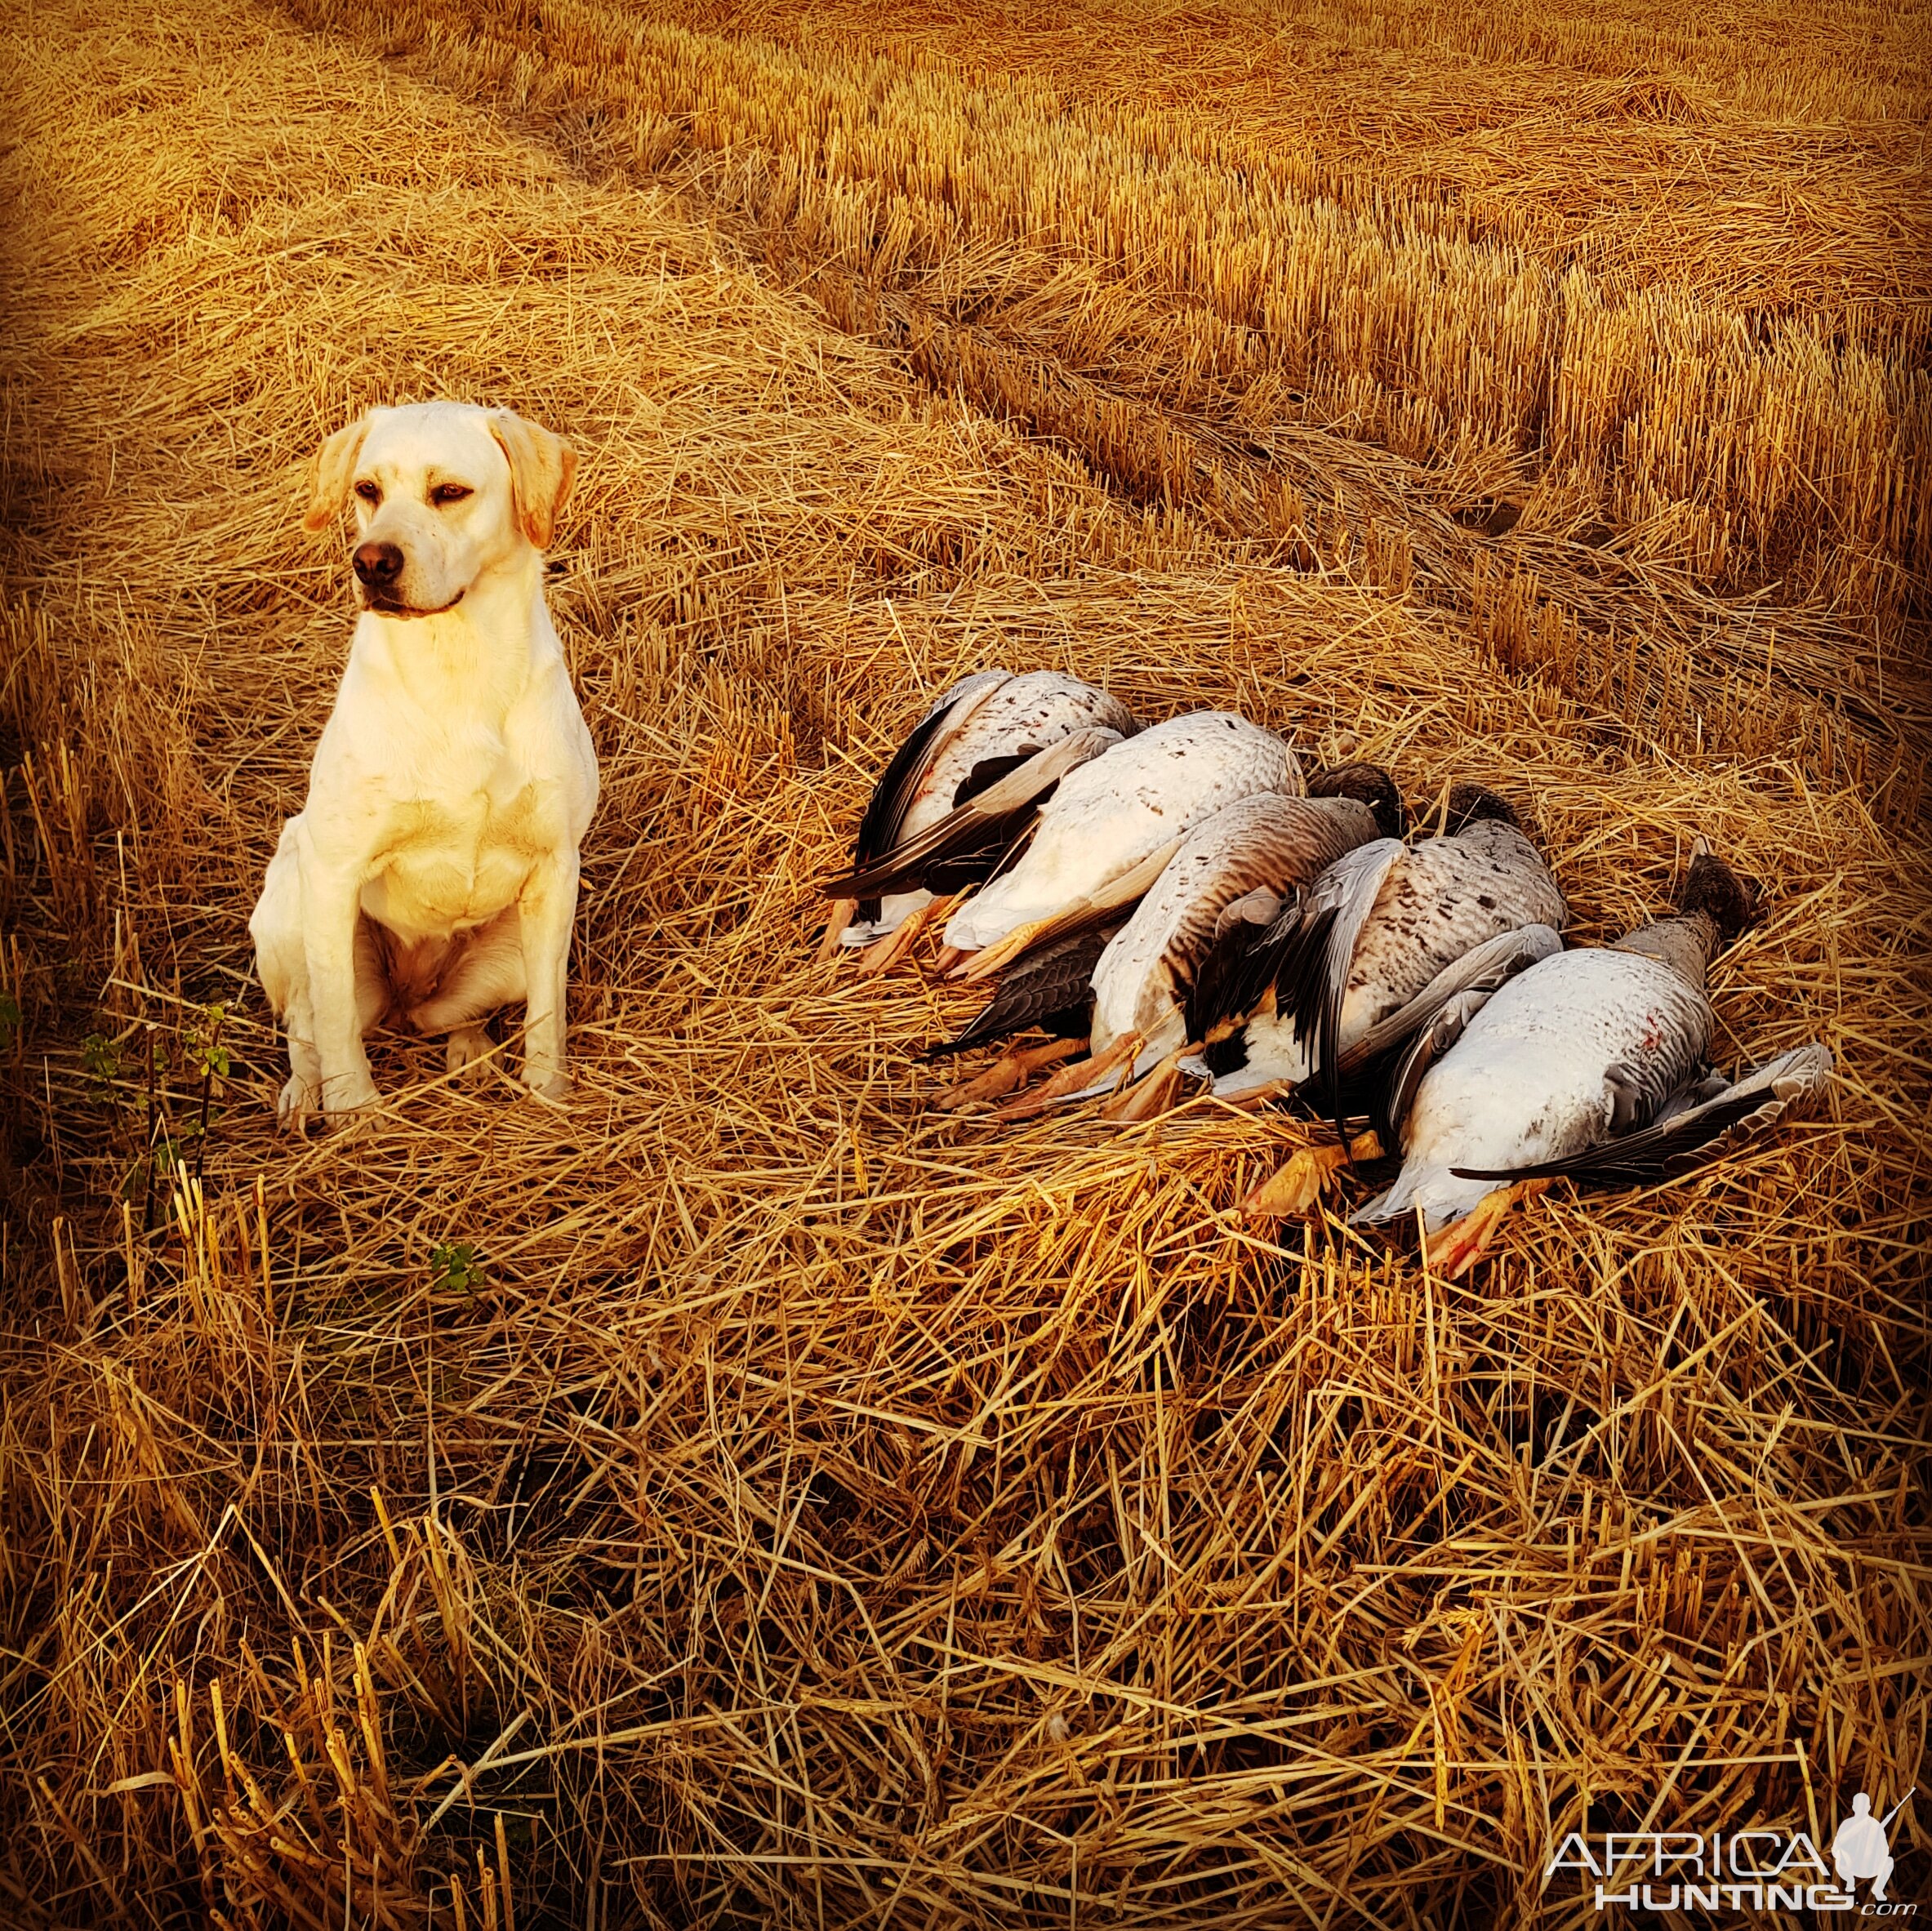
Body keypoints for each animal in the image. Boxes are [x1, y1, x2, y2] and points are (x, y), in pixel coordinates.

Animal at [252, 401, 594, 1128]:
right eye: (366, 489)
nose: (372, 562)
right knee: (307, 1023)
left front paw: (547, 1092)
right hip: (292, 905)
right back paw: (304, 1093)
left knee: (455, 1015)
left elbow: (548, 1016)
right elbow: (334, 1022)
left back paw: (471, 1051)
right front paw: (353, 1111)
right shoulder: (335, 871)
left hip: (510, 955)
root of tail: (410, 993)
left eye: (450, 492)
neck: (456, 661)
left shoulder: (557, 869)